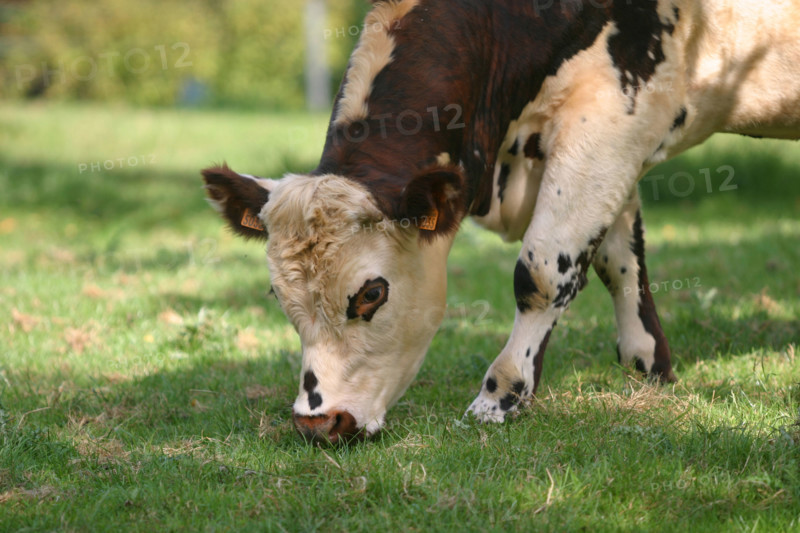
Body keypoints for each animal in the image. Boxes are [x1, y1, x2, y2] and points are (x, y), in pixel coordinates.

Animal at [202, 0, 800, 443]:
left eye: (371, 293)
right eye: (278, 295)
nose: (319, 422)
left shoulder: (611, 121)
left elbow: (543, 272)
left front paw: (500, 396)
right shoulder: (612, 150)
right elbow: (619, 260)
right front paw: (648, 366)